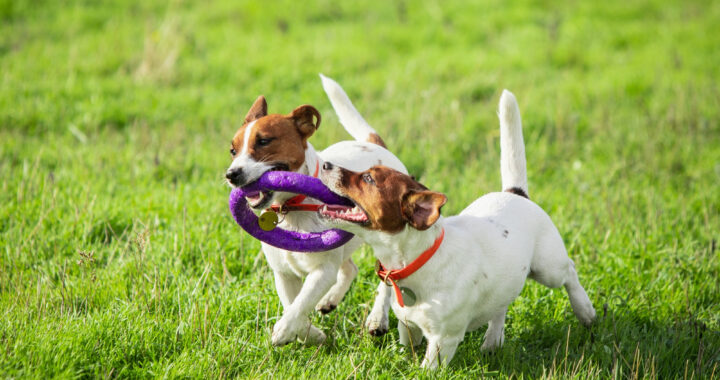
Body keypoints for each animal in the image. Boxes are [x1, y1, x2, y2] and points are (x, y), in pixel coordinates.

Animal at [225, 75, 408, 348]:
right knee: (350, 268)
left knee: (386, 279)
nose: (231, 174)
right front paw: (311, 334)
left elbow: (300, 304)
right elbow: (293, 304)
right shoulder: (283, 274)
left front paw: (284, 330)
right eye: (233, 151)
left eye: (264, 141)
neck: (292, 207)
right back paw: (330, 300)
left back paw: (377, 319)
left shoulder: (322, 271)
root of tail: (374, 145)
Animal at [320, 90, 596, 366]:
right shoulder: (409, 327)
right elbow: (409, 346)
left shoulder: (443, 340)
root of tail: (515, 193)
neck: (418, 260)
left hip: (548, 268)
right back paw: (493, 340)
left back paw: (585, 311)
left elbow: (427, 368)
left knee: (570, 271)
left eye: (368, 179)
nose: (324, 165)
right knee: (502, 304)